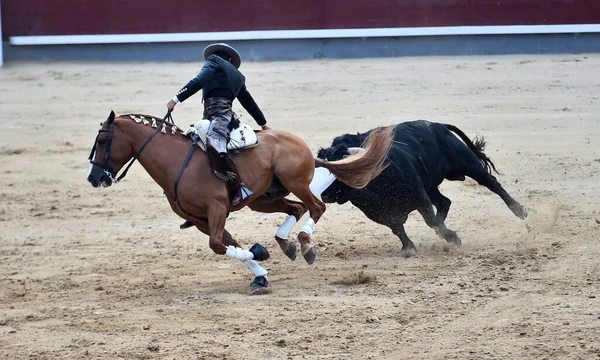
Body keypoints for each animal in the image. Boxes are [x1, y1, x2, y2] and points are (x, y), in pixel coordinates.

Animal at [85, 112, 394, 292]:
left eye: (102, 141)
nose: (94, 177)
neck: (177, 163)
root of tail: (302, 145)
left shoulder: (216, 209)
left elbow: (218, 245)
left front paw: (259, 254)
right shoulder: (201, 219)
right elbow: (227, 244)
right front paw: (260, 272)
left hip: (295, 182)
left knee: (316, 207)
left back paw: (305, 244)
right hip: (264, 199)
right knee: (297, 208)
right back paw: (286, 244)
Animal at [316, 120, 528, 253]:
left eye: (338, 170)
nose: (323, 194)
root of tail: (437, 125)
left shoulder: (418, 195)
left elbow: (429, 219)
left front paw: (453, 238)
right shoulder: (379, 213)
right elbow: (398, 228)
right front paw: (409, 247)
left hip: (468, 164)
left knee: (492, 184)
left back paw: (519, 210)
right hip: (431, 185)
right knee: (444, 202)